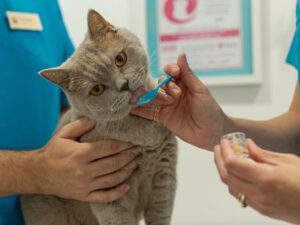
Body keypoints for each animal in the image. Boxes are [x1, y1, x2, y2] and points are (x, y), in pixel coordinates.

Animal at [21, 9, 178, 225]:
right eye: (97, 89)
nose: (124, 85)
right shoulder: (108, 193)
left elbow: (160, 215)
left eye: (120, 59)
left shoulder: (164, 178)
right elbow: (120, 219)